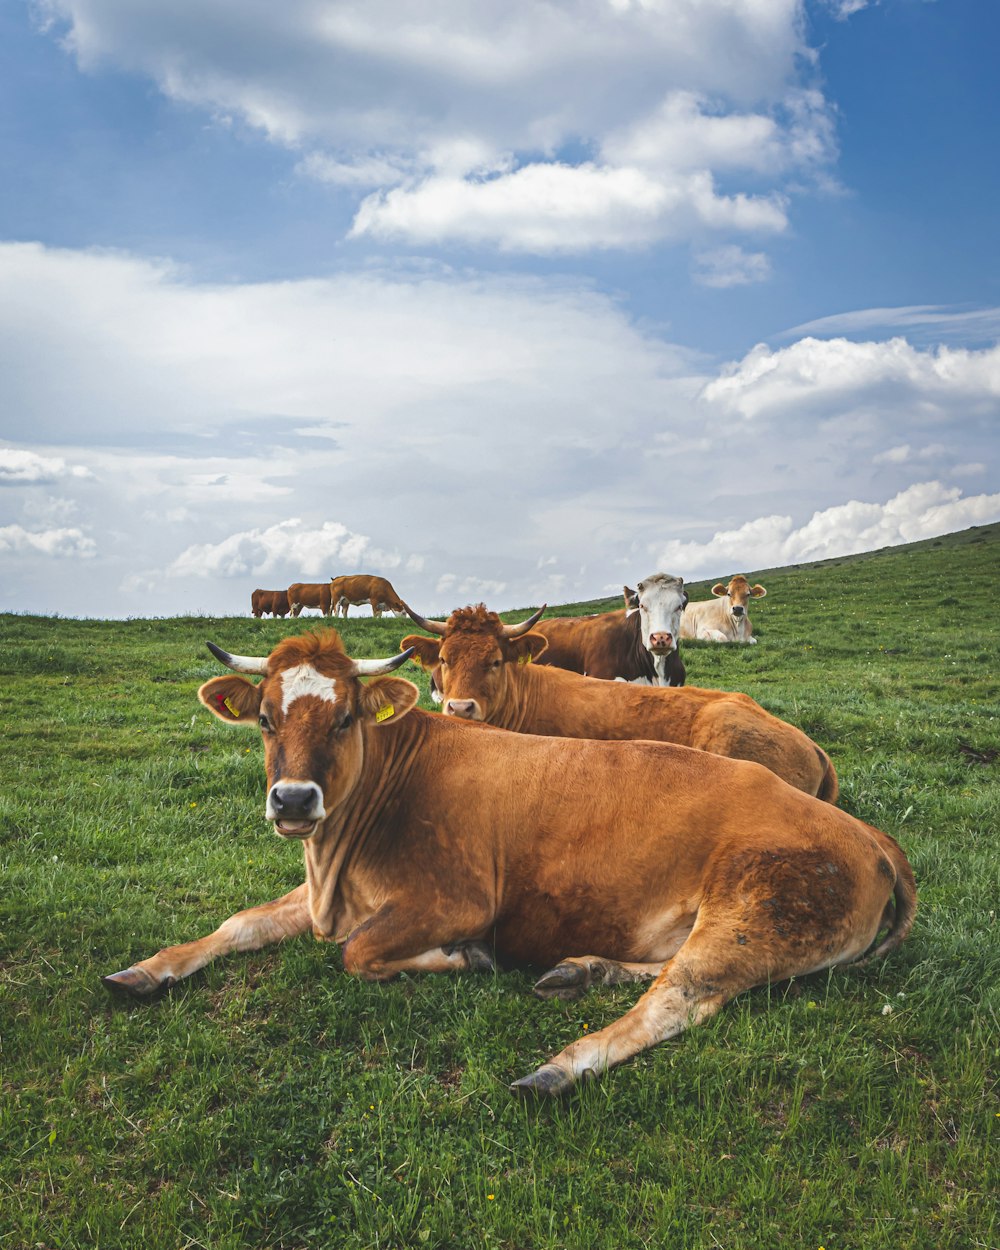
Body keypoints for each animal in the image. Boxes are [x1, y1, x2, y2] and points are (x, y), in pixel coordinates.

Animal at [103, 625, 915, 1095]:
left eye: (345, 716)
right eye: (266, 719)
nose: (294, 800)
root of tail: (872, 835)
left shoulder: (455, 900)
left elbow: (356, 953)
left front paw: (465, 959)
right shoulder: (326, 894)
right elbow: (239, 923)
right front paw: (145, 969)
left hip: (757, 908)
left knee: (677, 1000)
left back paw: (558, 1066)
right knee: (666, 974)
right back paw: (582, 970)